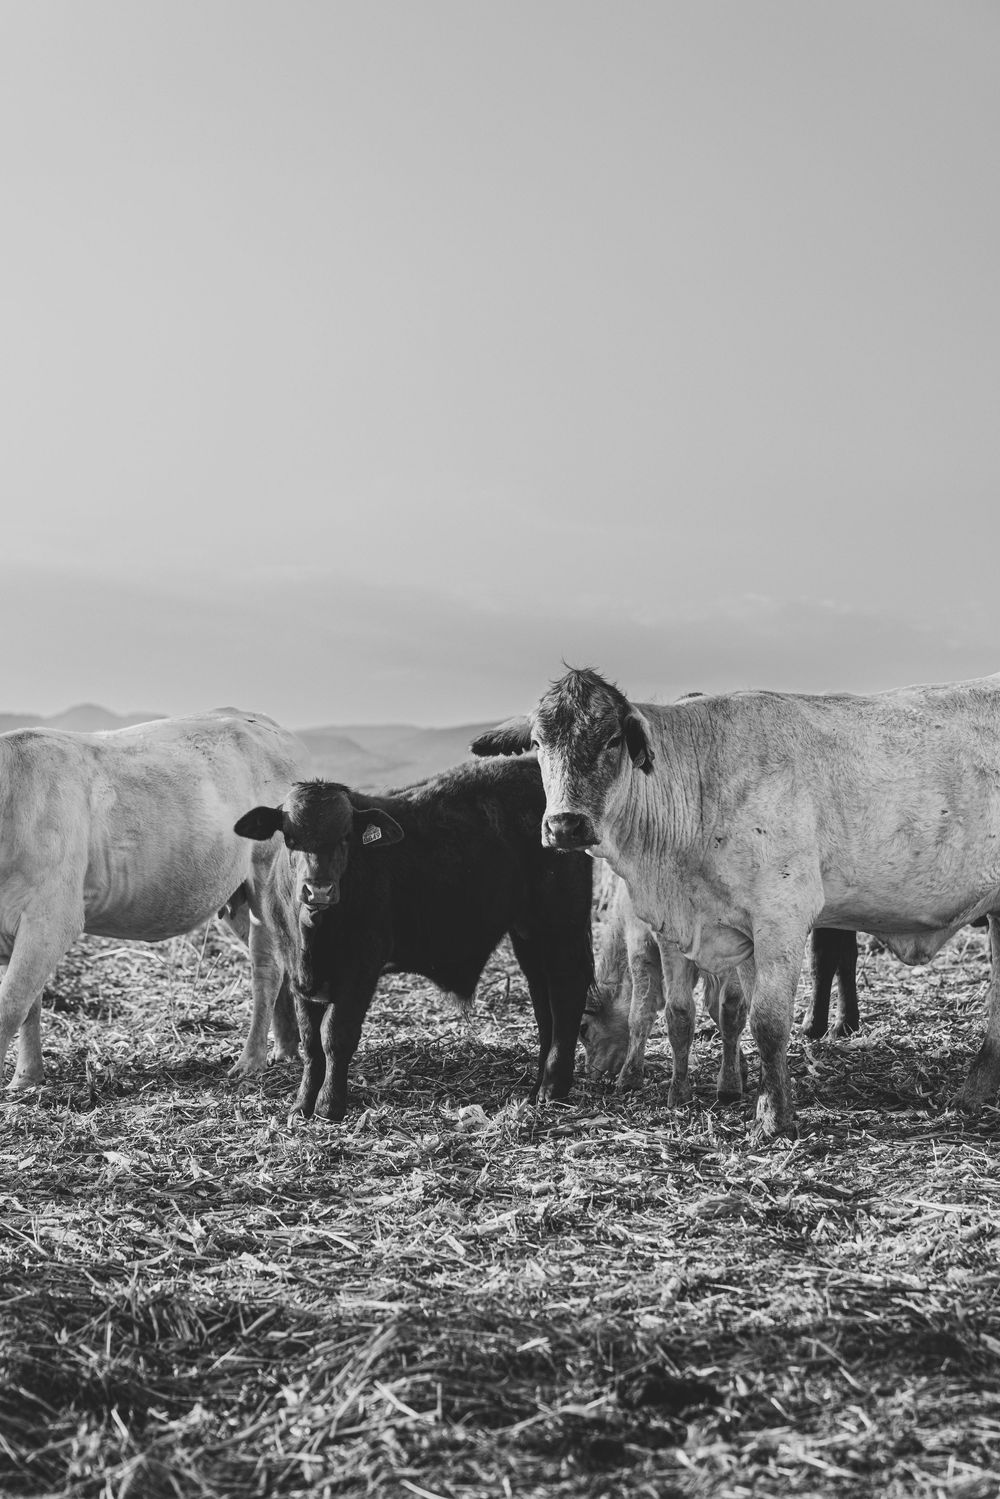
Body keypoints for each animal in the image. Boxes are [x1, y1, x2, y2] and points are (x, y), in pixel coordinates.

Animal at [0, 709, 309, 1091]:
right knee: (283, 962)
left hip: (264, 878)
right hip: (236, 895)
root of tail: (267, 724)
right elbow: (29, 1004)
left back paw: (250, 1062)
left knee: (267, 969)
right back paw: (286, 1050)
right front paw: (26, 1079)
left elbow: (12, 1004)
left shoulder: (51, 914)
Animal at [233, 756, 594, 1122]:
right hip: (529, 933)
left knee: (566, 992)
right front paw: (303, 1103)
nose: (318, 890)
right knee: (543, 998)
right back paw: (537, 1085)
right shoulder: (299, 975)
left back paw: (553, 1087)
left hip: (562, 922)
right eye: (290, 837)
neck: (314, 934)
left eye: (346, 836)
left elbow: (335, 1035)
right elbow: (310, 1042)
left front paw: (329, 1105)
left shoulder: (361, 968)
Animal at [470, 667, 1000, 1139]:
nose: (565, 826)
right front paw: (687, 1095)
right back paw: (975, 1091)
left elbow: (766, 1022)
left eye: (612, 740)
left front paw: (774, 1115)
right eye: (539, 743)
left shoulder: (780, 919)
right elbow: (682, 1015)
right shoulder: (684, 931)